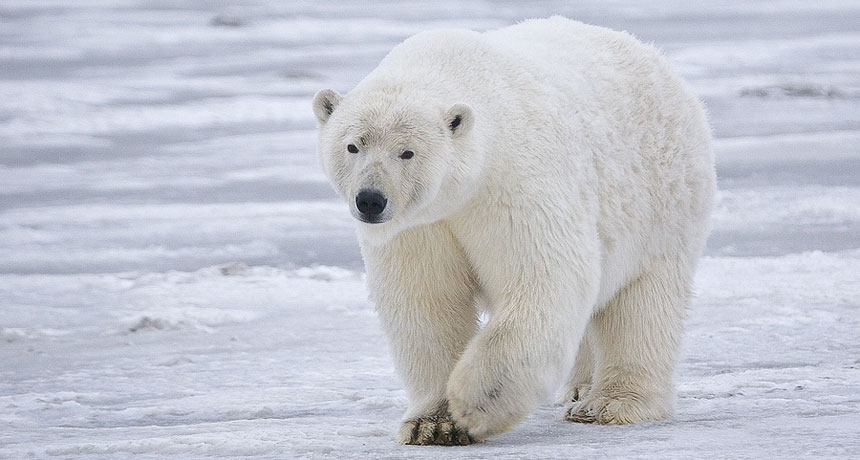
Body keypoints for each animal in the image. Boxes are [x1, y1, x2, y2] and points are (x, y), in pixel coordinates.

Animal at [312, 16, 716, 445]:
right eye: (353, 146)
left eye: (407, 152)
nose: (371, 200)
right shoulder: (420, 225)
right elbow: (426, 302)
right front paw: (432, 423)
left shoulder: (513, 183)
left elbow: (544, 279)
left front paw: (474, 404)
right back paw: (579, 387)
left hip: (662, 201)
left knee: (643, 304)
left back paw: (609, 403)